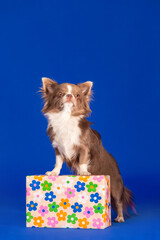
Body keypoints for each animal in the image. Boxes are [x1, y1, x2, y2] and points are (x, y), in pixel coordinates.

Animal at [41, 78, 135, 222]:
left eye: (77, 95)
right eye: (60, 94)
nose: (70, 96)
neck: (66, 118)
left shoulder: (84, 148)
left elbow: (83, 161)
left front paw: (84, 172)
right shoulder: (58, 148)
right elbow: (58, 162)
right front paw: (54, 172)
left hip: (115, 185)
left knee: (118, 201)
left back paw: (120, 217)